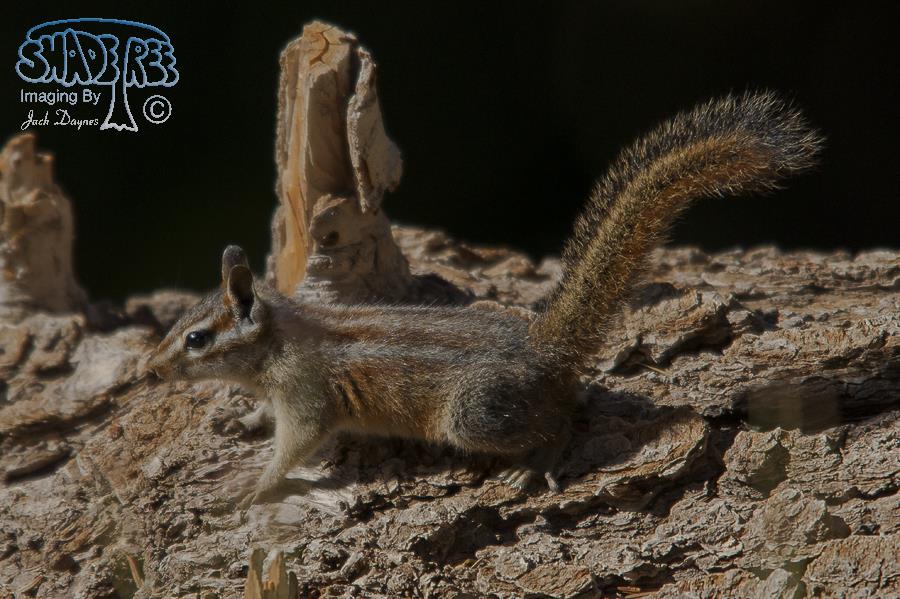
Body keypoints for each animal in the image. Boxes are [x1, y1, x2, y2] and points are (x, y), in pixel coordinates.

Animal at [147, 91, 822, 507]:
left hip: (474, 415)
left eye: (196, 339)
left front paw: (254, 486)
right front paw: (241, 419)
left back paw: (538, 461)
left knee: (564, 419)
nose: (151, 371)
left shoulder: (308, 397)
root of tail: (547, 347)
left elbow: (295, 446)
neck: (280, 340)